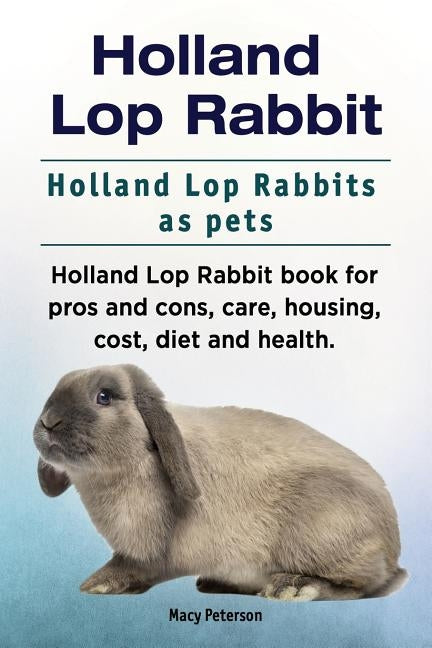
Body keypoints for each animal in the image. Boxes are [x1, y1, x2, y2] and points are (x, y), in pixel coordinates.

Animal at [33, 364, 407, 601]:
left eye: (104, 396)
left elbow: (136, 567)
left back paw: (295, 588)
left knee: (365, 584)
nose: (49, 421)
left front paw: (99, 583)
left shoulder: (153, 550)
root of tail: (393, 547)